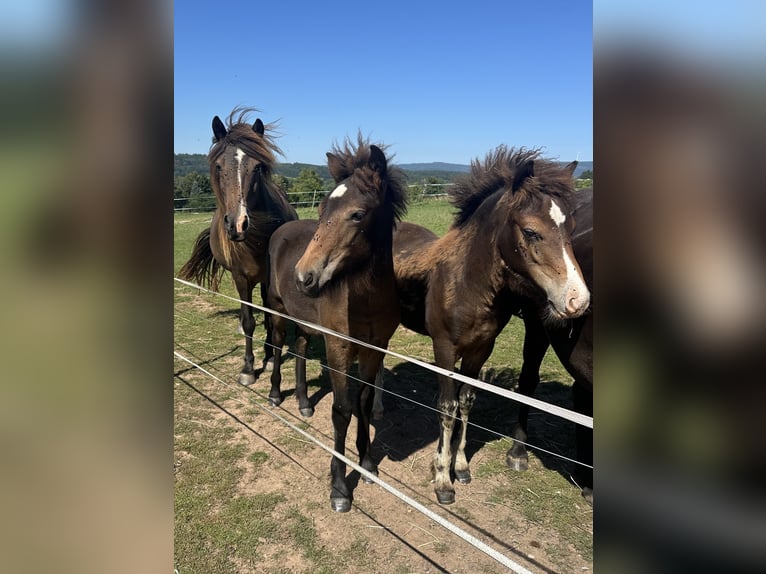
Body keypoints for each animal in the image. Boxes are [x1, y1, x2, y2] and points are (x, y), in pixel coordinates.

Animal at [178, 108, 298, 385]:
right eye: (219, 166)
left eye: (257, 167)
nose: (238, 224)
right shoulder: (240, 278)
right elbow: (248, 321)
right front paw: (247, 369)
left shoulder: (269, 279)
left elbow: (268, 317)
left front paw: (267, 356)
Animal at [266, 137, 407, 512]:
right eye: (322, 211)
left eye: (357, 214)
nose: (304, 277)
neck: (366, 300)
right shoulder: (338, 347)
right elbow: (342, 410)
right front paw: (340, 487)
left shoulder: (375, 349)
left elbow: (365, 401)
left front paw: (368, 463)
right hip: (278, 310)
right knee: (277, 344)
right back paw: (275, 394)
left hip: (305, 322)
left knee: (300, 348)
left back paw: (304, 402)